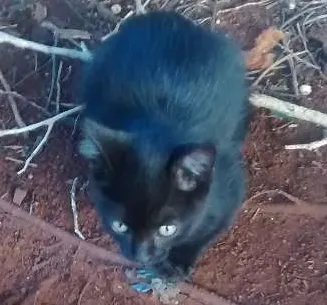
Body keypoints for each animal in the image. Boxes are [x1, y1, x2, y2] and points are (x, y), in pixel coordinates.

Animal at [78, 11, 250, 282]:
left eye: (167, 229)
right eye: (120, 225)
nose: (141, 256)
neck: (160, 122)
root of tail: (167, 17)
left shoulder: (228, 190)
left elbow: (205, 230)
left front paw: (177, 262)